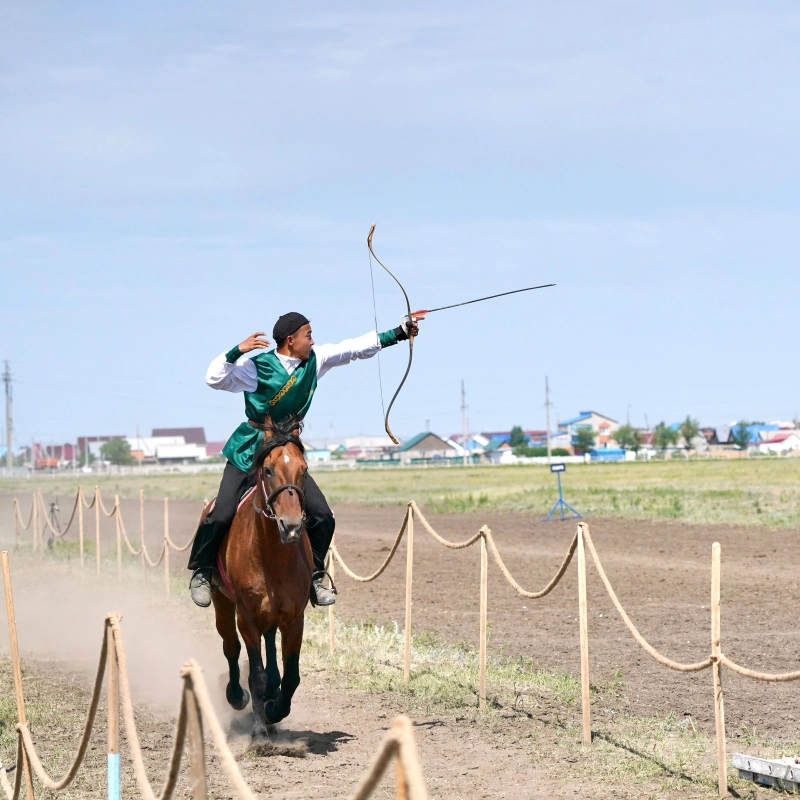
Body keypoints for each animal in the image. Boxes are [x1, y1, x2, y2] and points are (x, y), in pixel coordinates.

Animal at [209, 416, 312, 740]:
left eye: (304, 469)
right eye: (268, 469)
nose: (291, 526)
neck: (271, 558)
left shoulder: (294, 619)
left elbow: (291, 676)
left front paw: (274, 710)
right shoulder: (247, 617)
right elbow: (255, 674)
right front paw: (258, 732)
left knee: (271, 654)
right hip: (222, 604)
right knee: (230, 647)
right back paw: (236, 696)